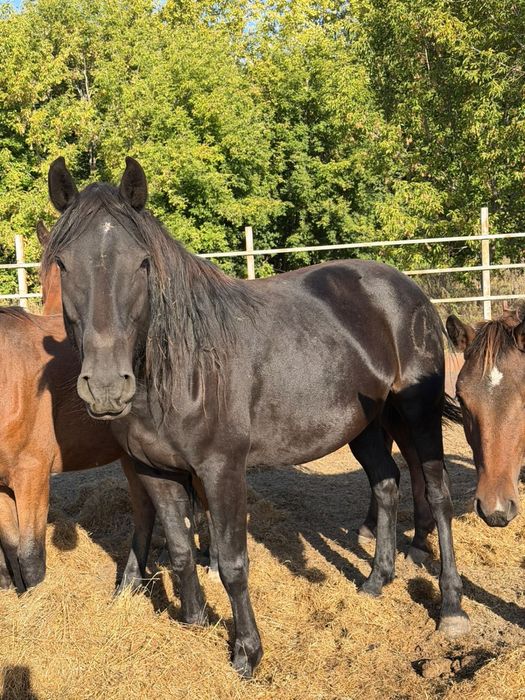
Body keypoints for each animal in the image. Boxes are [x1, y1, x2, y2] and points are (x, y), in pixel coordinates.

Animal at [43, 156, 470, 678]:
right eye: (63, 264)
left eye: (142, 263)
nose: (105, 386)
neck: (184, 369)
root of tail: (410, 291)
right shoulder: (154, 469)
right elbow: (181, 549)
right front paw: (195, 620)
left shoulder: (222, 469)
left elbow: (231, 562)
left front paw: (247, 651)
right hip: (364, 425)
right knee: (386, 484)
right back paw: (376, 580)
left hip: (416, 413)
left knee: (437, 495)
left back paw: (451, 607)